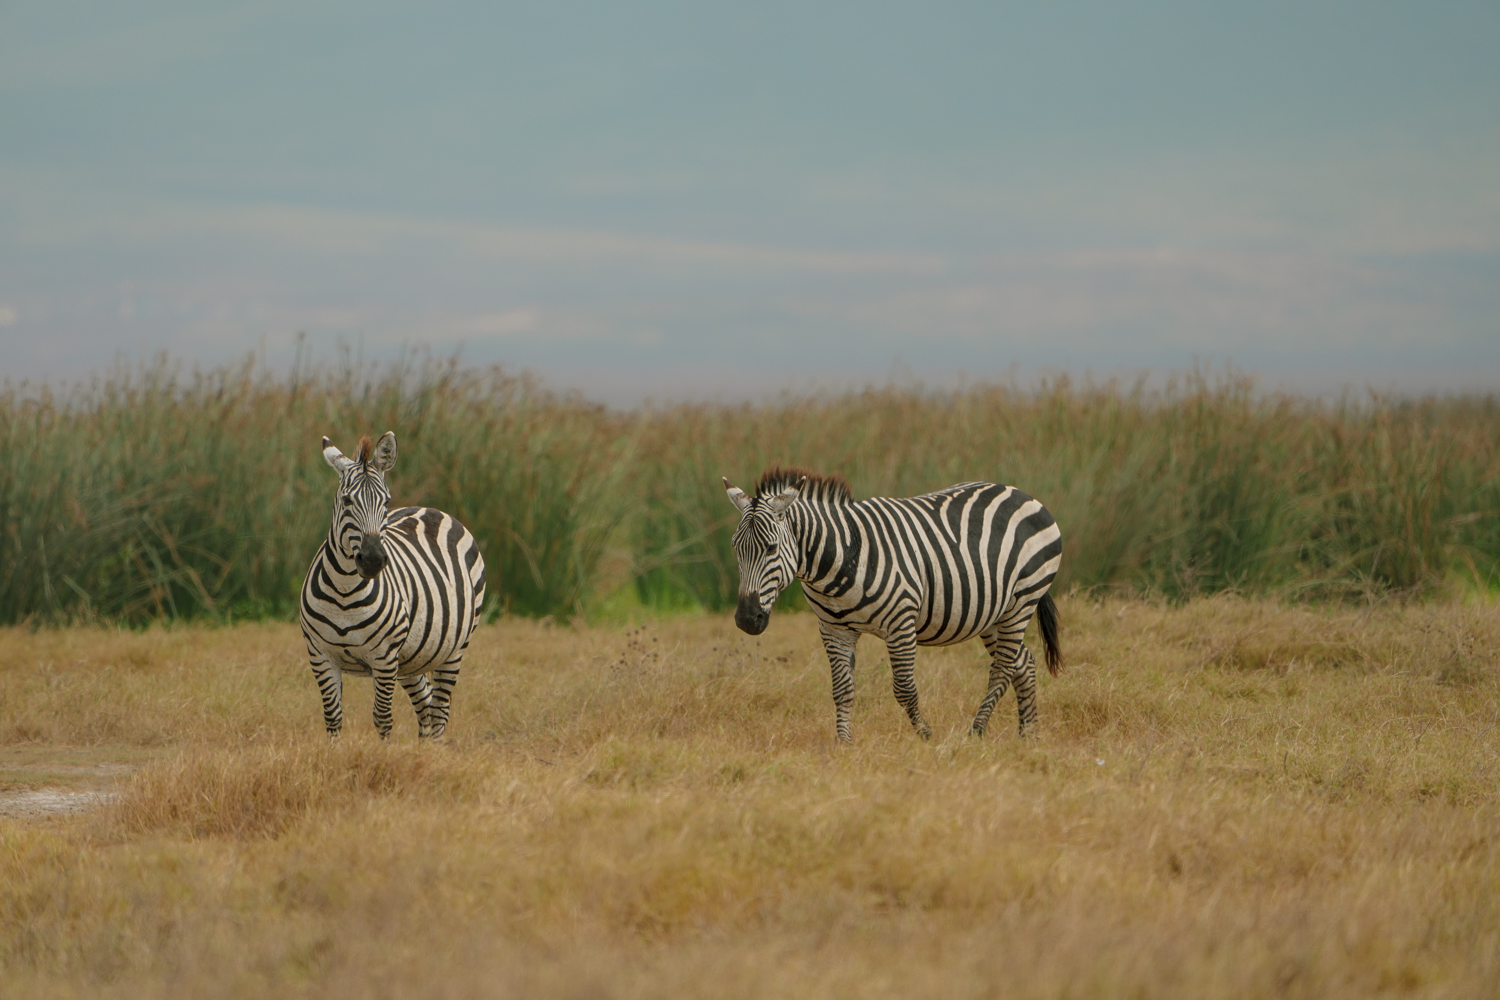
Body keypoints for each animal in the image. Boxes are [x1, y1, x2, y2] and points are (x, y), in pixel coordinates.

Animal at [301, 434, 489, 740]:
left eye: (386, 502)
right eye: (346, 499)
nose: (373, 559)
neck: (344, 591)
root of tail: (430, 509)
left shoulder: (385, 657)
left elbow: (382, 717)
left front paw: (382, 752)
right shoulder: (320, 656)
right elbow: (333, 718)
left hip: (454, 649)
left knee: (439, 711)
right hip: (413, 656)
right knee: (425, 702)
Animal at [720, 470, 1062, 743]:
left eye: (771, 548)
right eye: (736, 548)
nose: (747, 619)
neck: (840, 560)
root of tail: (1019, 492)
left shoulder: (901, 622)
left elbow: (904, 688)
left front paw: (925, 735)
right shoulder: (833, 629)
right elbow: (841, 689)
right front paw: (844, 744)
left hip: (1022, 600)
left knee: (1003, 667)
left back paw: (977, 730)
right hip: (992, 614)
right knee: (1023, 662)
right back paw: (1029, 734)